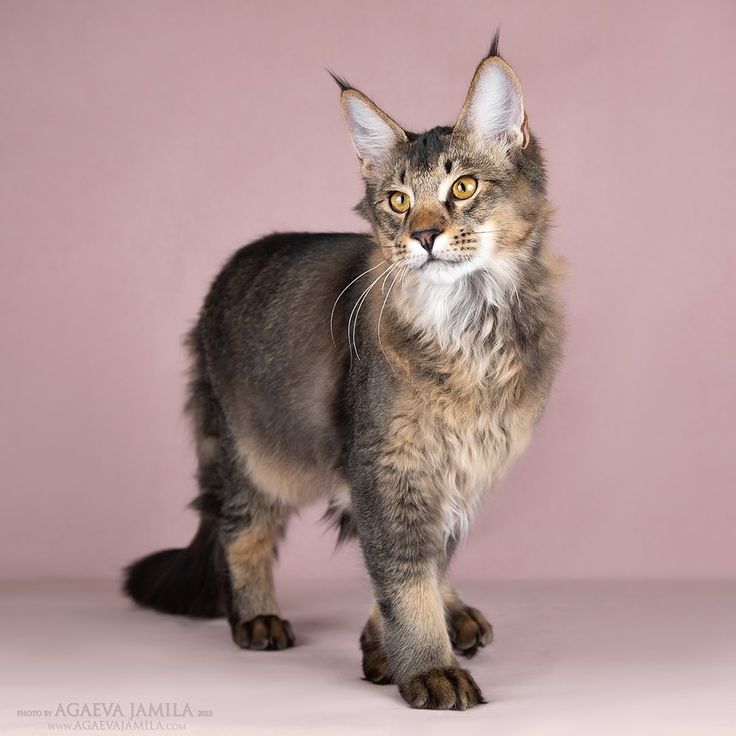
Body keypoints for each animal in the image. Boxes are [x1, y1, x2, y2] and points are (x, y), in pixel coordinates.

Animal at [125, 31, 564, 712]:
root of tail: (226, 274)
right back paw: (256, 618)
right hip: (253, 453)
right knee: (238, 531)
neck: (470, 326)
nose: (425, 236)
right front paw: (425, 668)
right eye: (399, 202)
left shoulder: (465, 461)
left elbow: (424, 564)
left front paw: (390, 650)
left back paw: (458, 615)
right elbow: (403, 577)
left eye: (464, 188)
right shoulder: (385, 463)